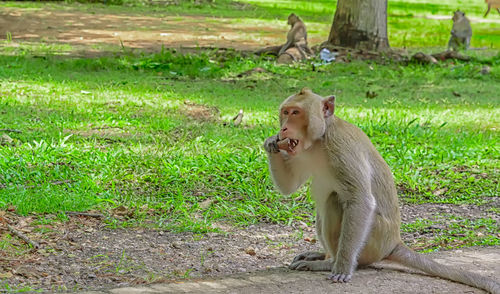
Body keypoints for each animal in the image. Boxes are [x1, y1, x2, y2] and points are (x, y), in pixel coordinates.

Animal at [264, 88, 498, 294]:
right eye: (285, 113)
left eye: (296, 113)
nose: (284, 129)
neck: (319, 141)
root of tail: (393, 243)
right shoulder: (300, 151)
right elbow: (289, 186)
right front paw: (271, 143)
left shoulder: (341, 147)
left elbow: (361, 200)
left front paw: (342, 267)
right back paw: (323, 256)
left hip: (373, 241)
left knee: (334, 201)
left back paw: (330, 262)